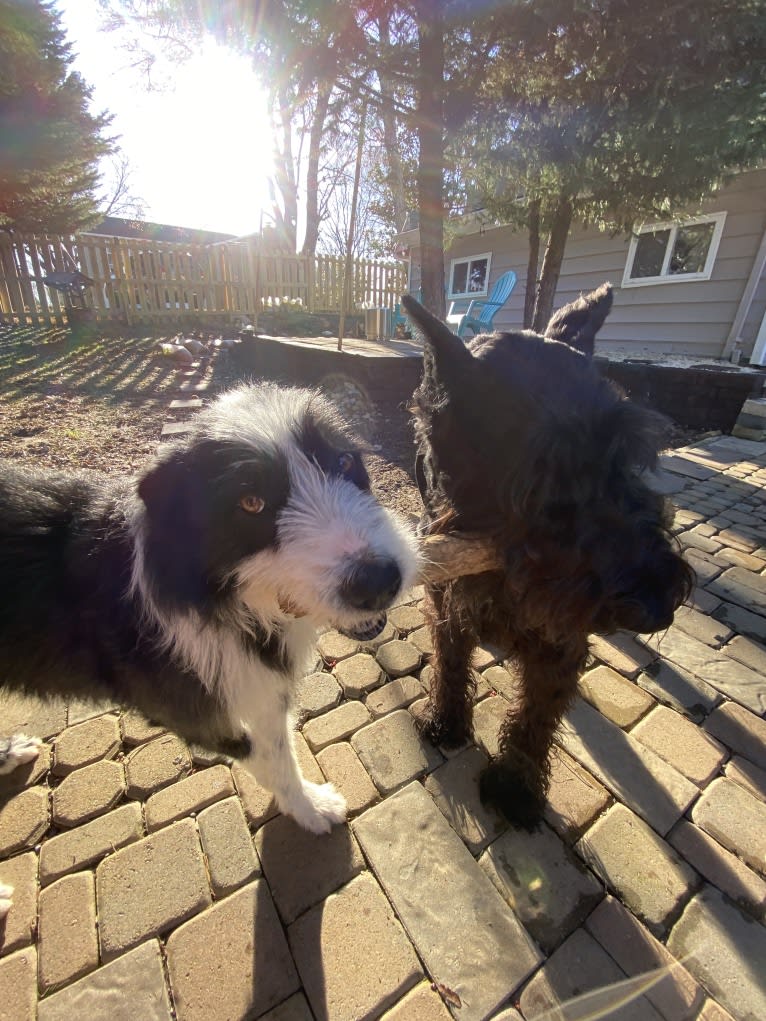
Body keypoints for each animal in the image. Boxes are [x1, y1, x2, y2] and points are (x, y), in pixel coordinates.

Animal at [0, 379, 420, 849]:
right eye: (251, 502)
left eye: (345, 461)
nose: (379, 580)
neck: (228, 601)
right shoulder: (194, 713)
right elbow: (263, 756)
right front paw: (310, 808)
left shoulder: (257, 684)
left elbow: (278, 745)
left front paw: (303, 802)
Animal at [404, 285, 694, 829]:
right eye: (542, 478)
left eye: (627, 454)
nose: (658, 605)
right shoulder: (446, 597)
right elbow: (450, 660)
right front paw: (446, 721)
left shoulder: (561, 642)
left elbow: (537, 714)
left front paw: (516, 786)